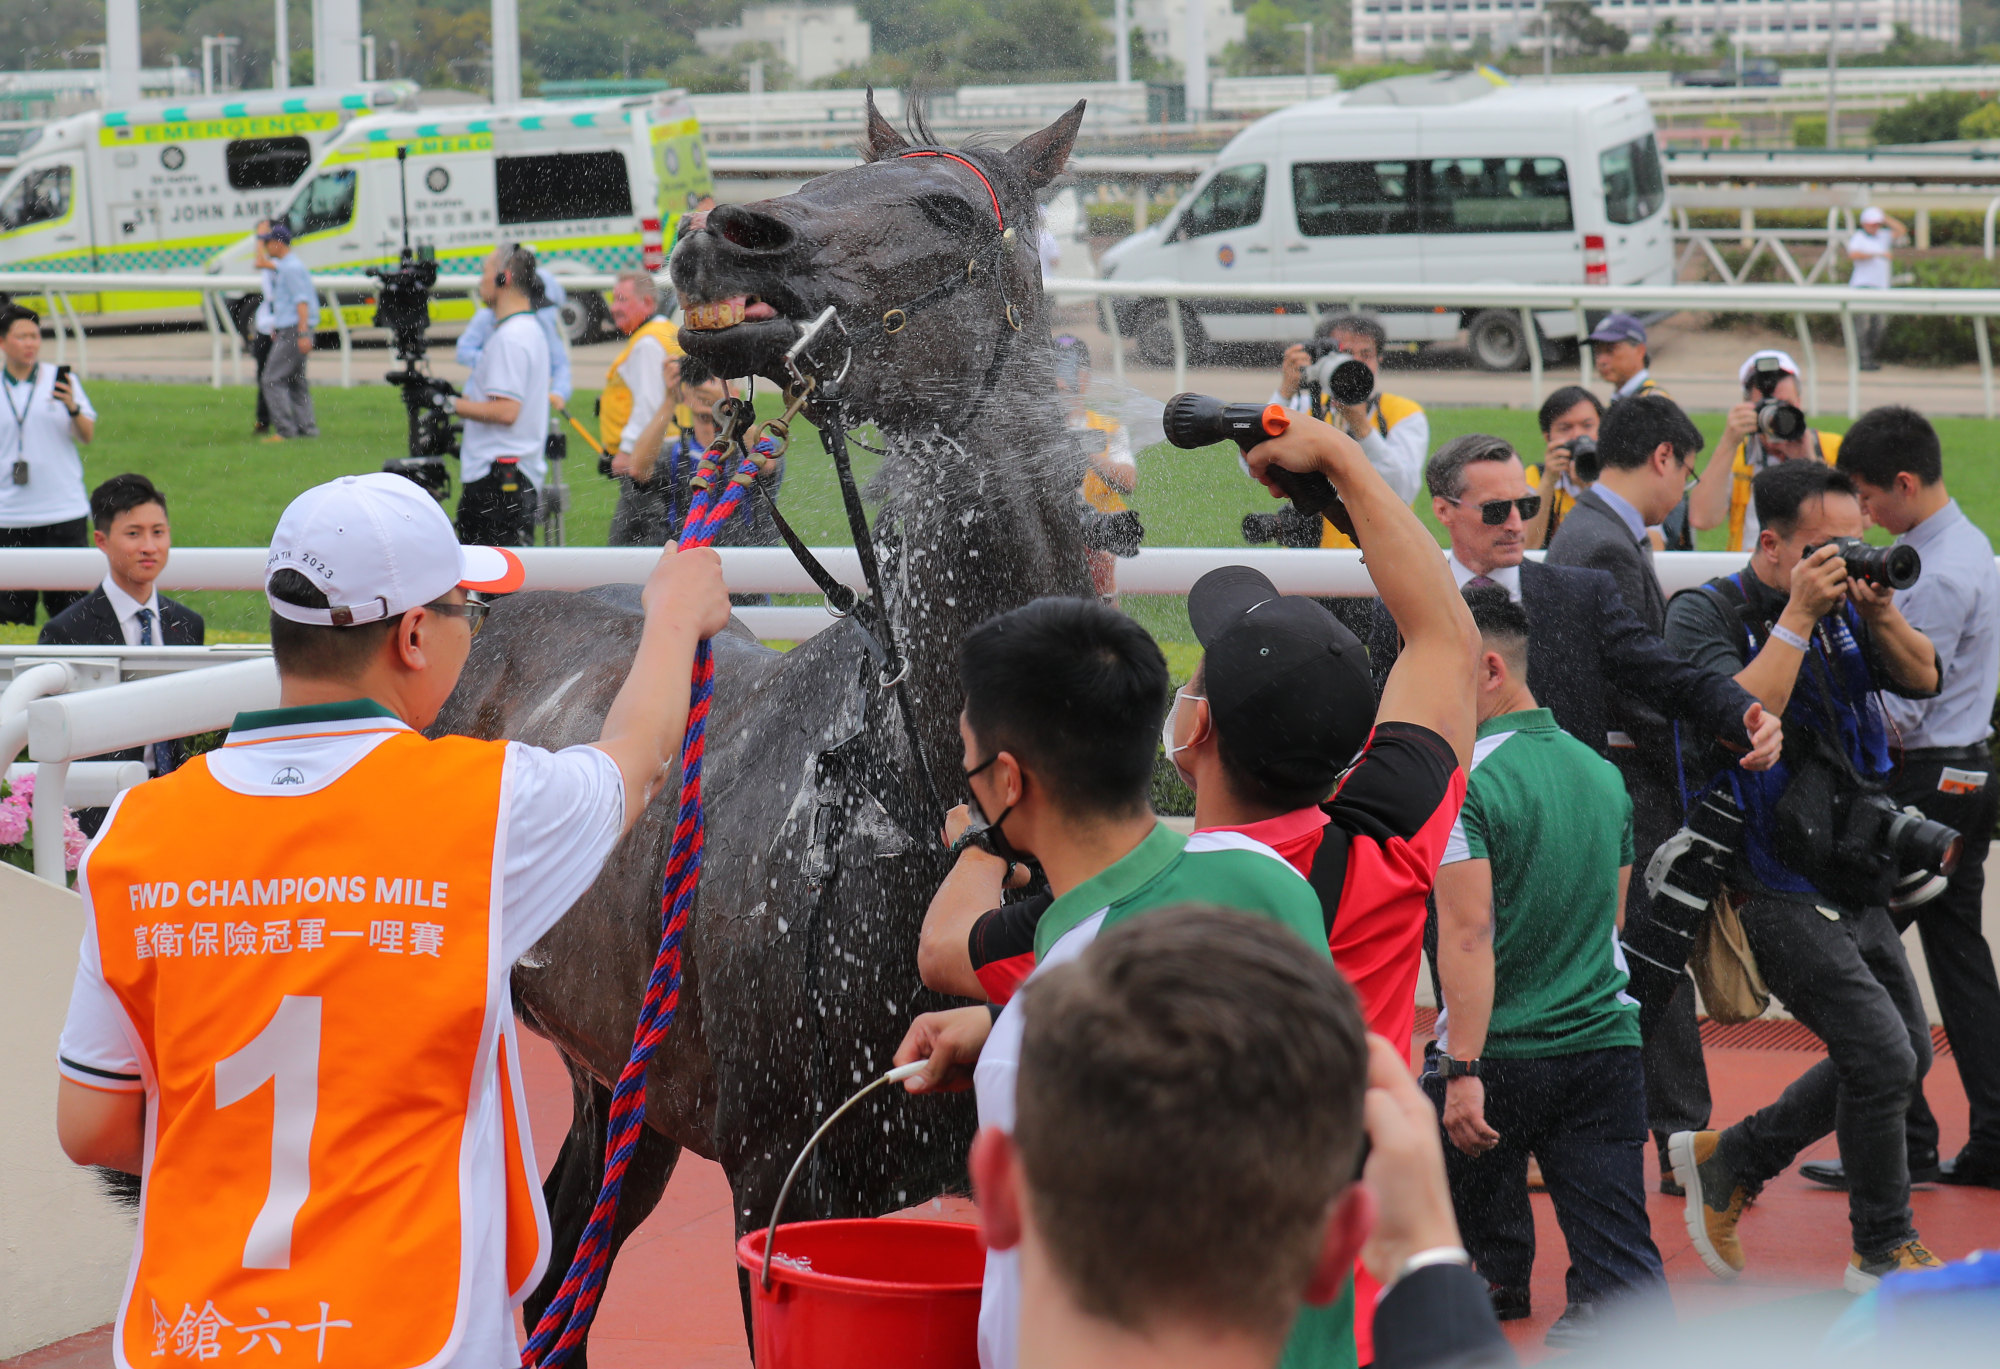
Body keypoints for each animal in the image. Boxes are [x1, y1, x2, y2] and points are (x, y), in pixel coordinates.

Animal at [434, 93, 1096, 1360]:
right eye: (832, 171)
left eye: (944, 207)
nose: (720, 233)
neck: (915, 811)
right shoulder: (778, 1180)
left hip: (619, 1092)